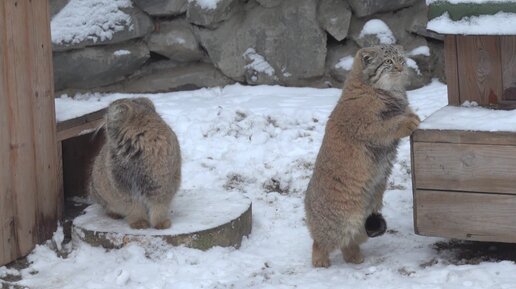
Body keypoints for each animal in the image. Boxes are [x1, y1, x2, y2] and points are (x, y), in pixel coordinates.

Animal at [89, 98, 182, 228]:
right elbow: (134, 206)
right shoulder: (124, 186)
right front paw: (139, 223)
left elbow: (159, 206)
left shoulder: (161, 183)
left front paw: (161, 224)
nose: (103, 118)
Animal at [306, 45, 420, 268]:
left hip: (362, 224)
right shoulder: (369, 127)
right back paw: (320, 261)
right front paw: (408, 121)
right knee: (319, 242)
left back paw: (354, 256)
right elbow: (391, 125)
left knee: (348, 242)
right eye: (388, 62)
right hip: (342, 222)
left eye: (401, 59)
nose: (401, 67)